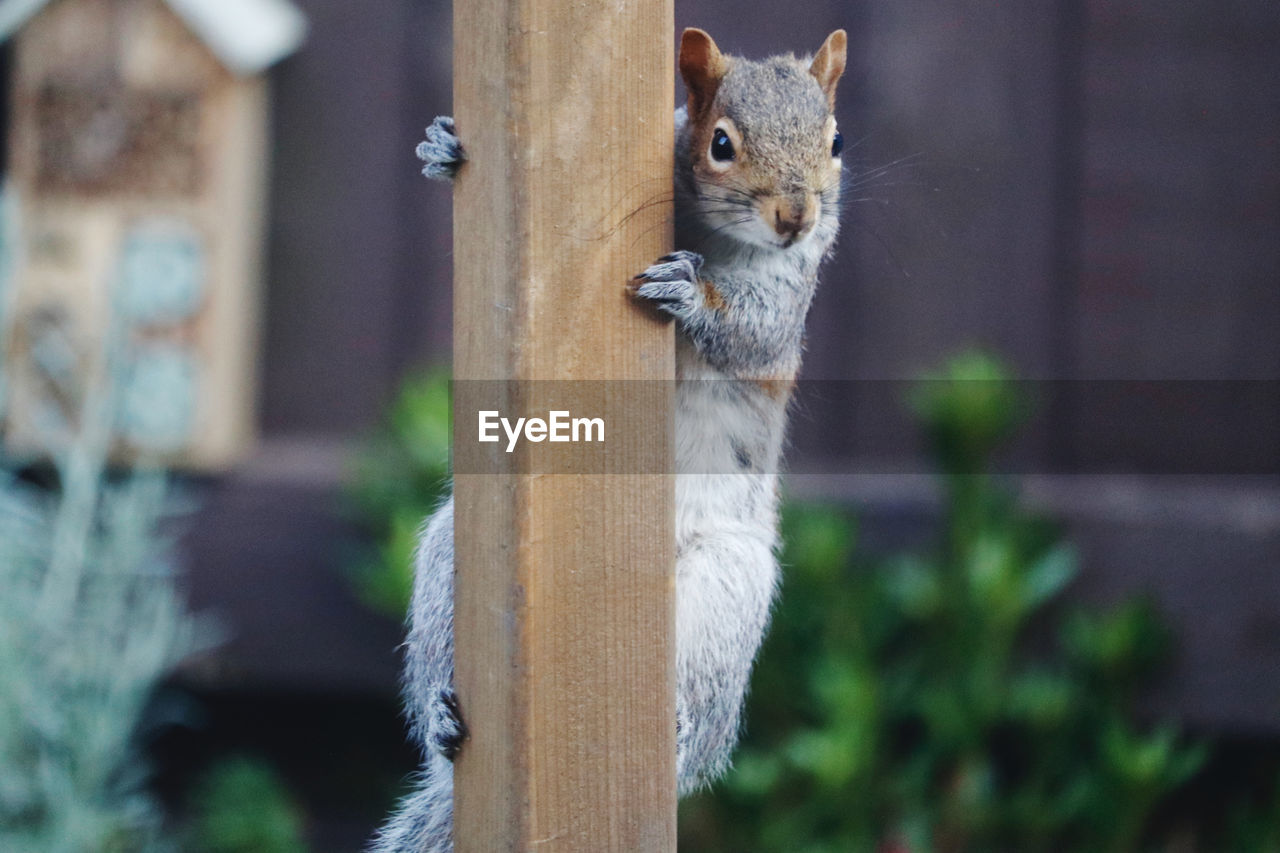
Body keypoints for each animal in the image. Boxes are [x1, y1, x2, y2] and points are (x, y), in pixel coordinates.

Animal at [371, 26, 849, 850]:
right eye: (720, 143)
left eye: (836, 141)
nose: (796, 216)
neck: (717, 235)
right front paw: (442, 149)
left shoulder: (791, 293)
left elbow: (751, 330)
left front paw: (693, 294)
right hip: (450, 557)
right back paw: (439, 711)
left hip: (724, 592)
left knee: (701, 727)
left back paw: (682, 731)